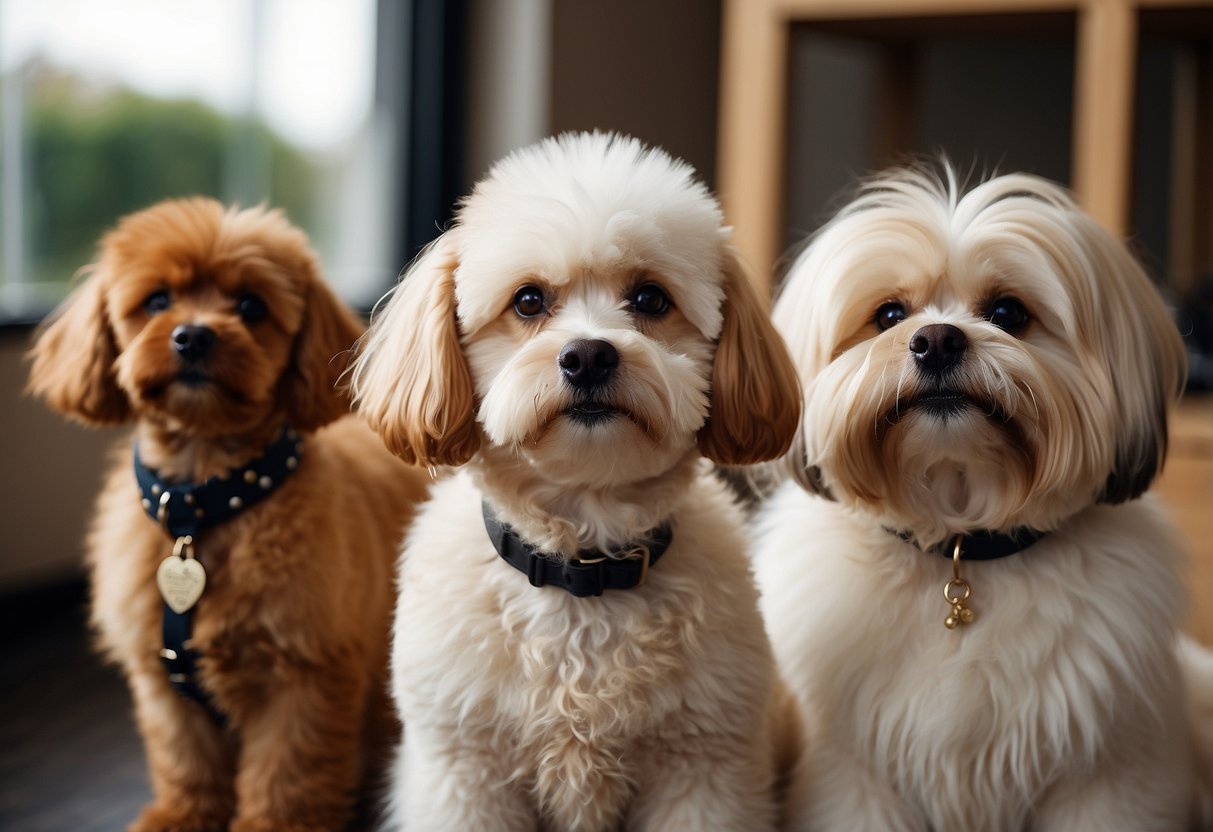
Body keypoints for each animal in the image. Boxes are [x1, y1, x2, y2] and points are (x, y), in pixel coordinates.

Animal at [351, 133, 805, 829]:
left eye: (650, 299)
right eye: (528, 300)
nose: (588, 355)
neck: (582, 570)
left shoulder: (703, 771)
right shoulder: (465, 776)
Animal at [752, 166, 1213, 829]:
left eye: (1008, 311)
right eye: (888, 313)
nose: (937, 340)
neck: (961, 544)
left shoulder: (1105, 779)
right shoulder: (854, 779)